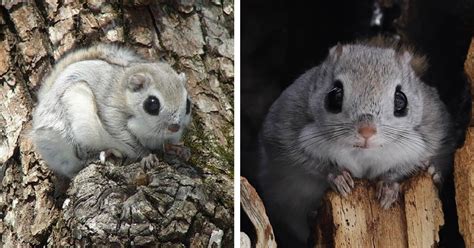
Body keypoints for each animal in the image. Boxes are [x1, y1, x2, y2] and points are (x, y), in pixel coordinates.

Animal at [31, 43, 192, 177]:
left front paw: (178, 149)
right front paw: (147, 156)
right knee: (78, 159)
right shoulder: (112, 112)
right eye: (152, 104)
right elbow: (126, 138)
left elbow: (167, 143)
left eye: (188, 103)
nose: (175, 127)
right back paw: (103, 153)